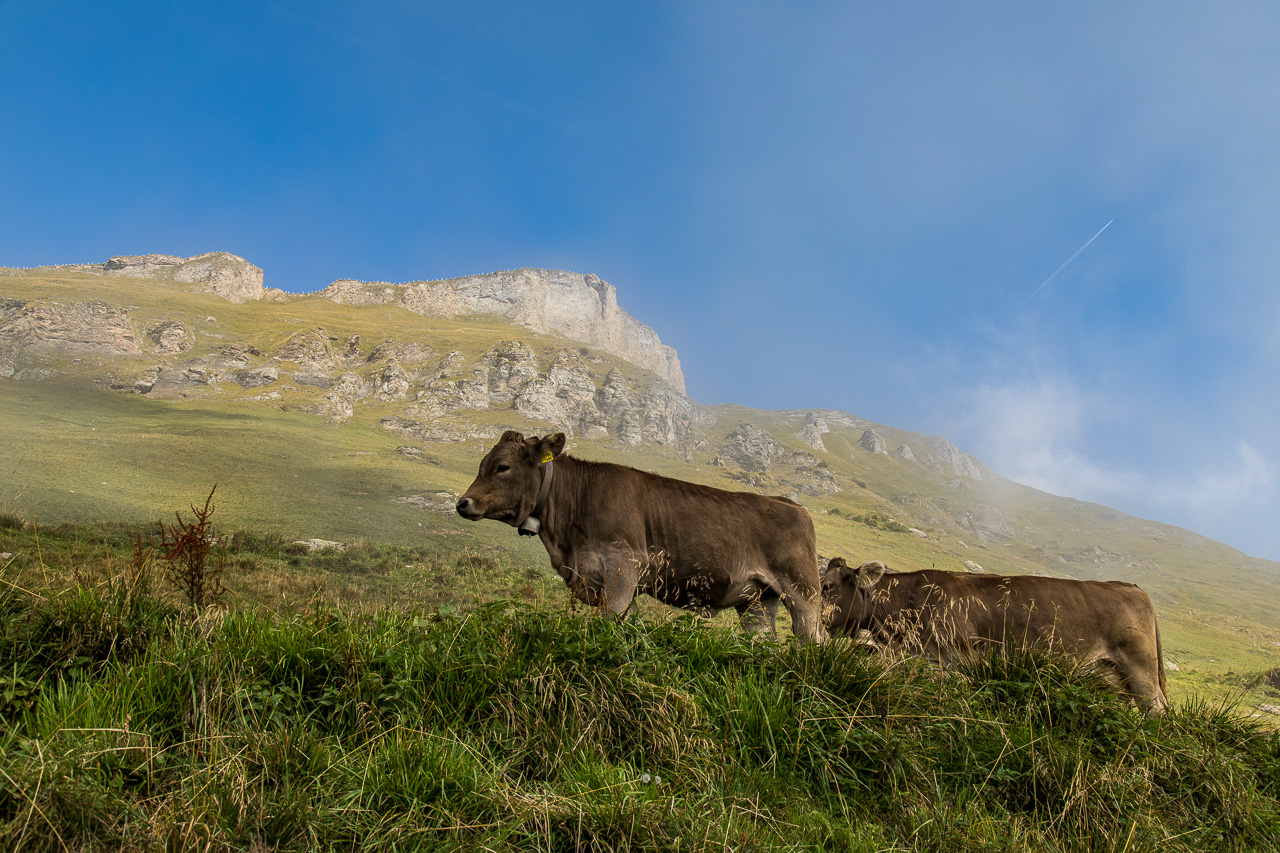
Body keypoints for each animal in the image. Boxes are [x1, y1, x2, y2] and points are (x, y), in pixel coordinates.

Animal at [455, 431, 826, 641]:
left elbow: (609, 621)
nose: (463, 502)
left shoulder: (624, 565)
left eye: (502, 467)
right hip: (758, 601)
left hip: (803, 590)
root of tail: (791, 504)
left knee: (813, 638)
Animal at [821, 557, 1168, 714]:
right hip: (1110, 676)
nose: (822, 623)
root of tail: (1132, 588)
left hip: (1140, 669)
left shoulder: (955, 657)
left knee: (1156, 711)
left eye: (828, 586)